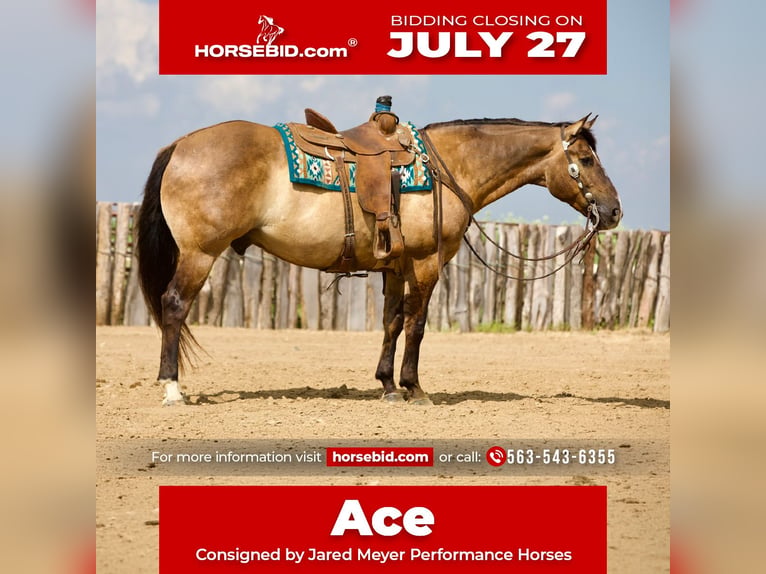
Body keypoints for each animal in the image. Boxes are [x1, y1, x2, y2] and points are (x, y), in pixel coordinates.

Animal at [136, 113, 622, 406]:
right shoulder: (426, 263)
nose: (614, 211)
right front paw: (414, 388)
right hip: (199, 255)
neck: (448, 169)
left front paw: (388, 385)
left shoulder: (395, 267)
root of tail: (180, 145)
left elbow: (391, 322)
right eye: (585, 158)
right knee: (174, 305)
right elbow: (417, 324)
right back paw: (173, 388)